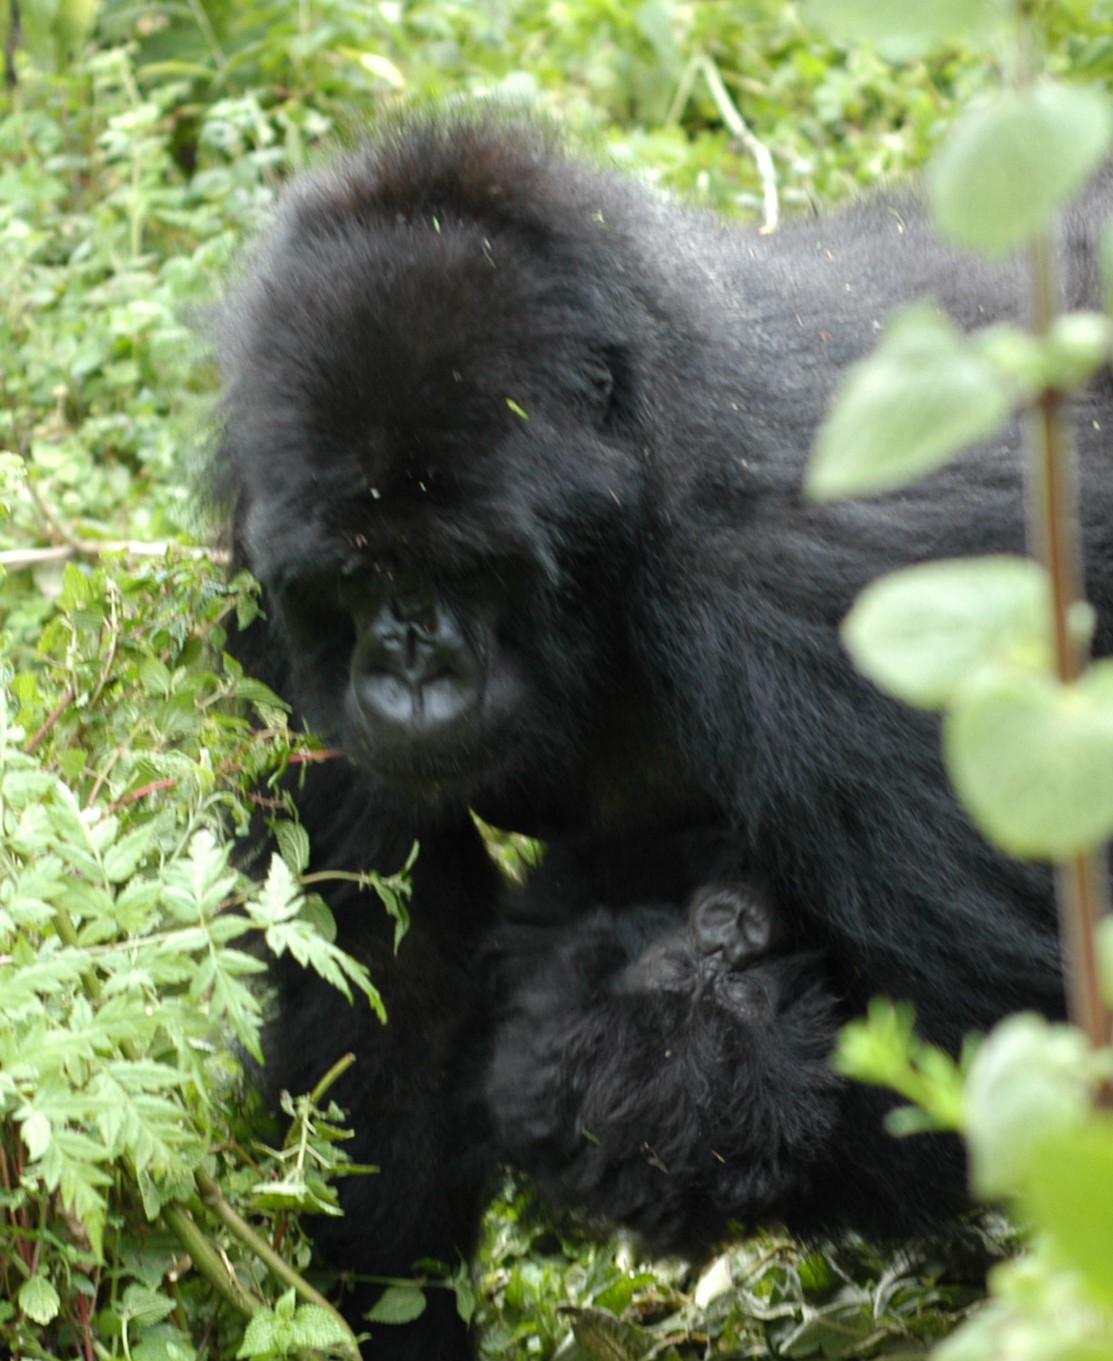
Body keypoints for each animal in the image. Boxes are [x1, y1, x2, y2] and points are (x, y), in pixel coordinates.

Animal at [210, 111, 1110, 1355]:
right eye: (354, 578)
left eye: (470, 568)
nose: (411, 671)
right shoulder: (261, 563)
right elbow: (376, 996)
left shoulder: (796, 598)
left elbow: (1011, 1036)